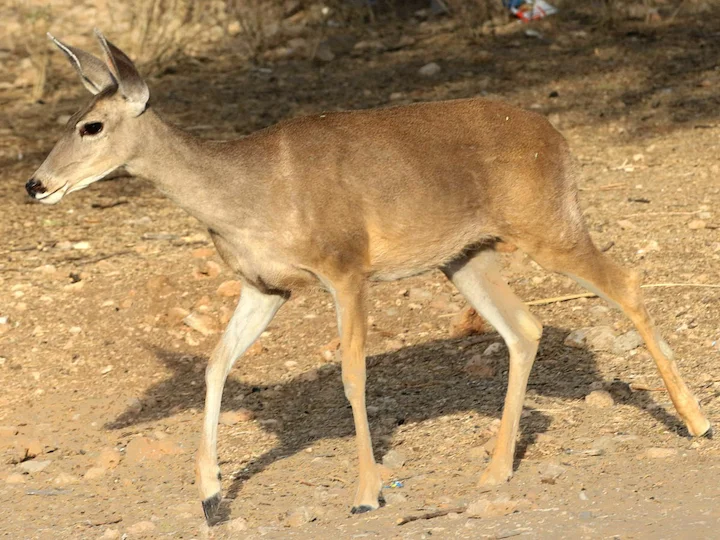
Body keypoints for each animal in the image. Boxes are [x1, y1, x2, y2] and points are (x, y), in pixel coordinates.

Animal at [28, 31, 711, 524]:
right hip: (466, 255)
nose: (35, 183)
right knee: (525, 326)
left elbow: (353, 376)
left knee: (626, 282)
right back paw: (494, 470)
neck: (245, 195)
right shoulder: (266, 285)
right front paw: (211, 497)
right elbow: (215, 365)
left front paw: (365, 493)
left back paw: (696, 422)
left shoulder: (346, 267)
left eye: (91, 125)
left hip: (546, 225)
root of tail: (561, 141)